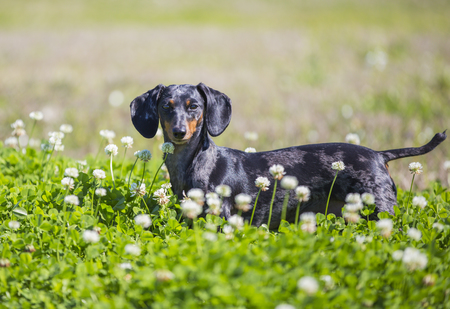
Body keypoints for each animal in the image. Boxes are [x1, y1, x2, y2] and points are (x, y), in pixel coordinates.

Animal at [130, 83, 446, 227]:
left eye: (193, 106)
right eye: (166, 106)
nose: (179, 132)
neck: (195, 163)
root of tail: (380, 155)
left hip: (379, 210)